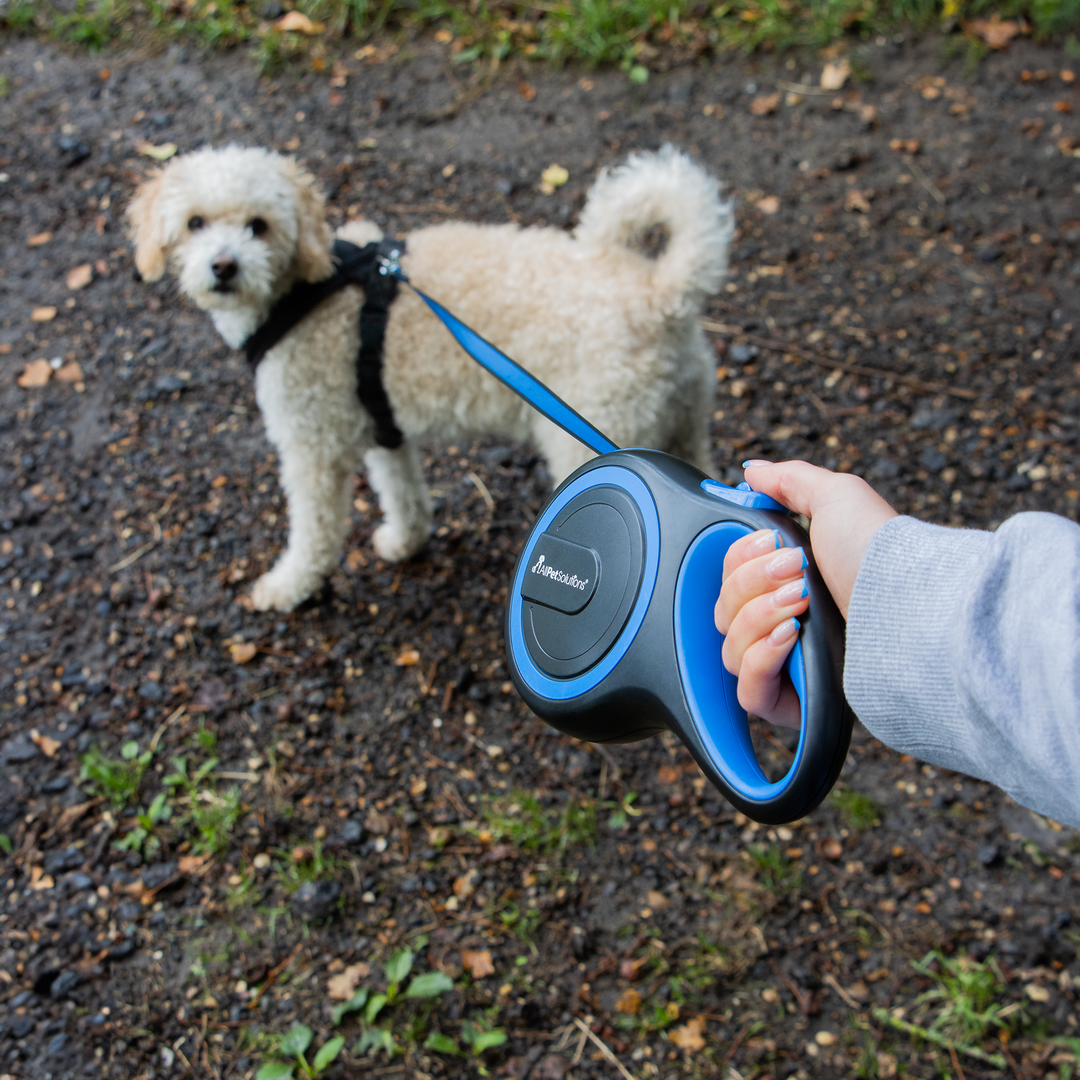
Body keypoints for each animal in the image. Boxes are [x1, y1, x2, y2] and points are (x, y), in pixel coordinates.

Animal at [128, 144, 734, 613]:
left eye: (259, 225)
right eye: (195, 223)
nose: (223, 267)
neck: (309, 288)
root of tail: (661, 294)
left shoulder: (313, 447)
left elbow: (314, 531)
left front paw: (289, 586)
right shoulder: (381, 424)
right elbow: (401, 490)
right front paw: (406, 540)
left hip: (598, 440)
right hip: (683, 426)